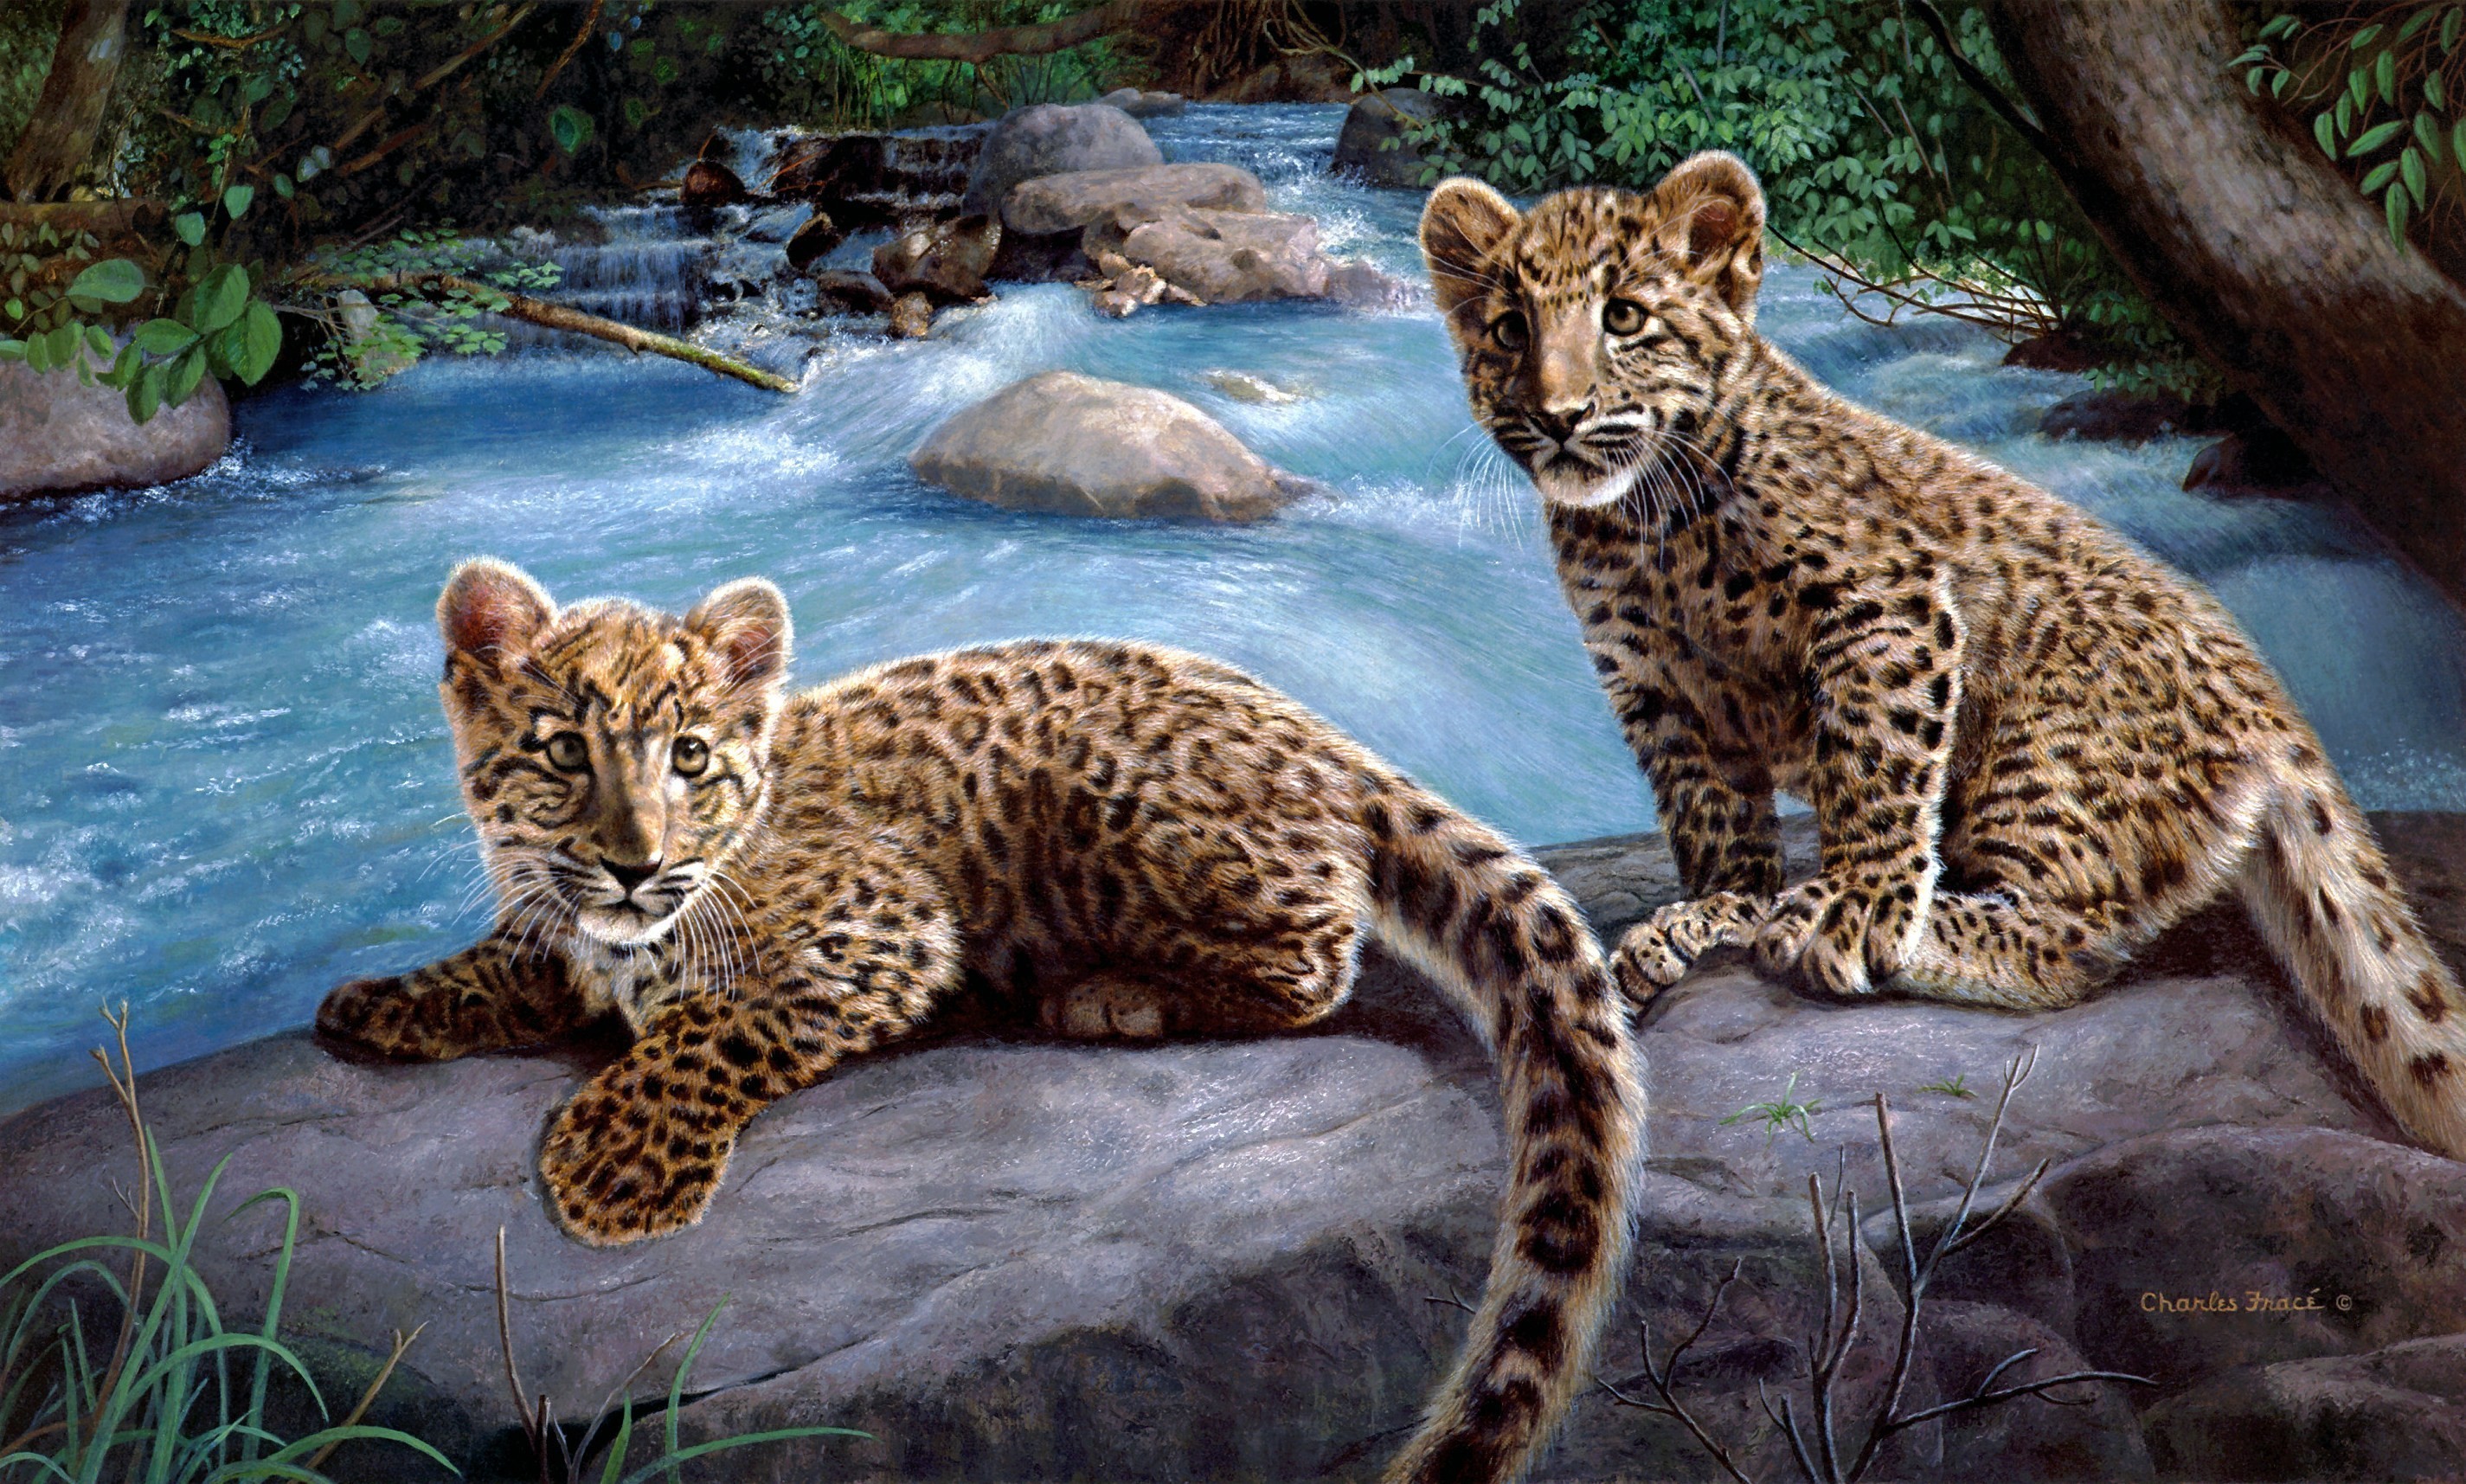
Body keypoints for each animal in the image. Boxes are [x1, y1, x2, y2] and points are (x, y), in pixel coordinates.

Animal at [315, 557, 1644, 1484]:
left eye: (688, 755)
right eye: (561, 753)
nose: (637, 862)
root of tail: (1322, 734)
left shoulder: (884, 923)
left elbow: (713, 1028)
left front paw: (615, 1167)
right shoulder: (571, 928)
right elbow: (519, 955)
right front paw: (379, 1001)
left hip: (1131, 813)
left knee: (1320, 950)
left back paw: (1104, 991)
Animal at [1418, 149, 2466, 1161]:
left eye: (1625, 317)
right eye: (1509, 329)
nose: (1558, 412)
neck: (1639, 526)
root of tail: (2272, 701)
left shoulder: (1887, 603)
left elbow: (1874, 767)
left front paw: (1852, 910)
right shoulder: (1655, 681)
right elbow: (1709, 810)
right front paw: (1712, 911)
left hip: (2046, 757)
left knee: (2068, 940)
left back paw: (1861, 922)